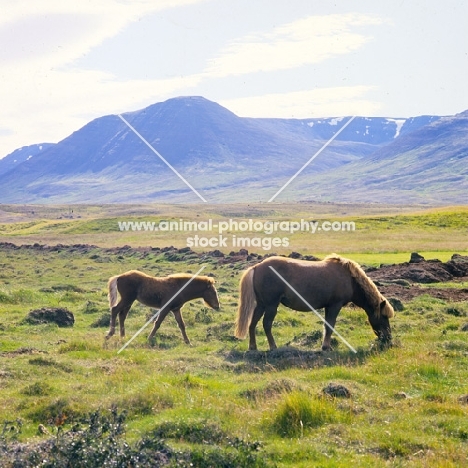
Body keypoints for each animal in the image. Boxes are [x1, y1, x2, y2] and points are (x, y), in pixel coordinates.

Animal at [236, 256, 394, 352]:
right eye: (384, 317)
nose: (388, 339)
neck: (350, 279)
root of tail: (257, 267)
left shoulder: (328, 307)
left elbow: (327, 325)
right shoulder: (335, 306)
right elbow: (330, 326)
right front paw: (326, 347)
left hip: (261, 305)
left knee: (253, 323)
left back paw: (253, 347)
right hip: (271, 306)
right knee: (266, 324)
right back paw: (273, 347)